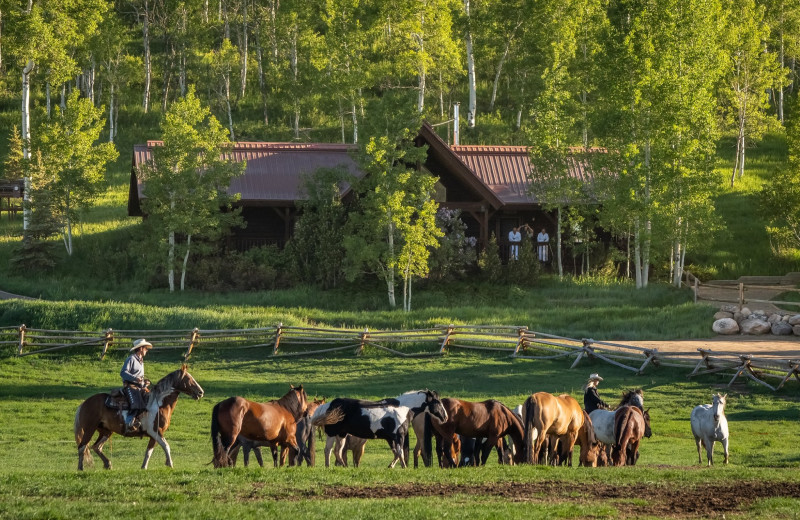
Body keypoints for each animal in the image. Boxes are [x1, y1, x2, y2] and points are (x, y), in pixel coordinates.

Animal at [73, 366, 203, 472]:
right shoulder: (156, 431)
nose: (201, 392)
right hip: (89, 429)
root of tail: (84, 403)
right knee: (82, 447)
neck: (158, 404)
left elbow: (149, 451)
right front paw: (170, 464)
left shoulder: (153, 435)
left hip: (106, 431)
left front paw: (144, 467)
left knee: (96, 446)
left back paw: (108, 464)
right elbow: (166, 446)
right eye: (188, 379)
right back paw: (80, 468)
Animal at [312, 388, 450, 470]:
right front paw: (404, 467)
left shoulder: (391, 438)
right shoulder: (398, 436)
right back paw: (331, 466)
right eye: (437, 402)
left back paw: (341, 466)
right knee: (329, 450)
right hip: (332, 433)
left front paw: (391, 466)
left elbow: (396, 453)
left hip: (341, 434)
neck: (402, 408)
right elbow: (400, 452)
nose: (445, 417)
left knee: (336, 451)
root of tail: (327, 406)